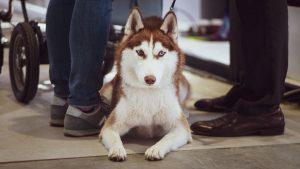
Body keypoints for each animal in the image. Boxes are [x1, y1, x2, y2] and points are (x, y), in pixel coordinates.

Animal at [99, 7, 191, 161]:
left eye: (161, 53)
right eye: (140, 52)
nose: (150, 79)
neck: (149, 94)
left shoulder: (181, 128)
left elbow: (167, 138)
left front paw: (155, 149)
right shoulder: (110, 126)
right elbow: (113, 136)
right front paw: (117, 149)